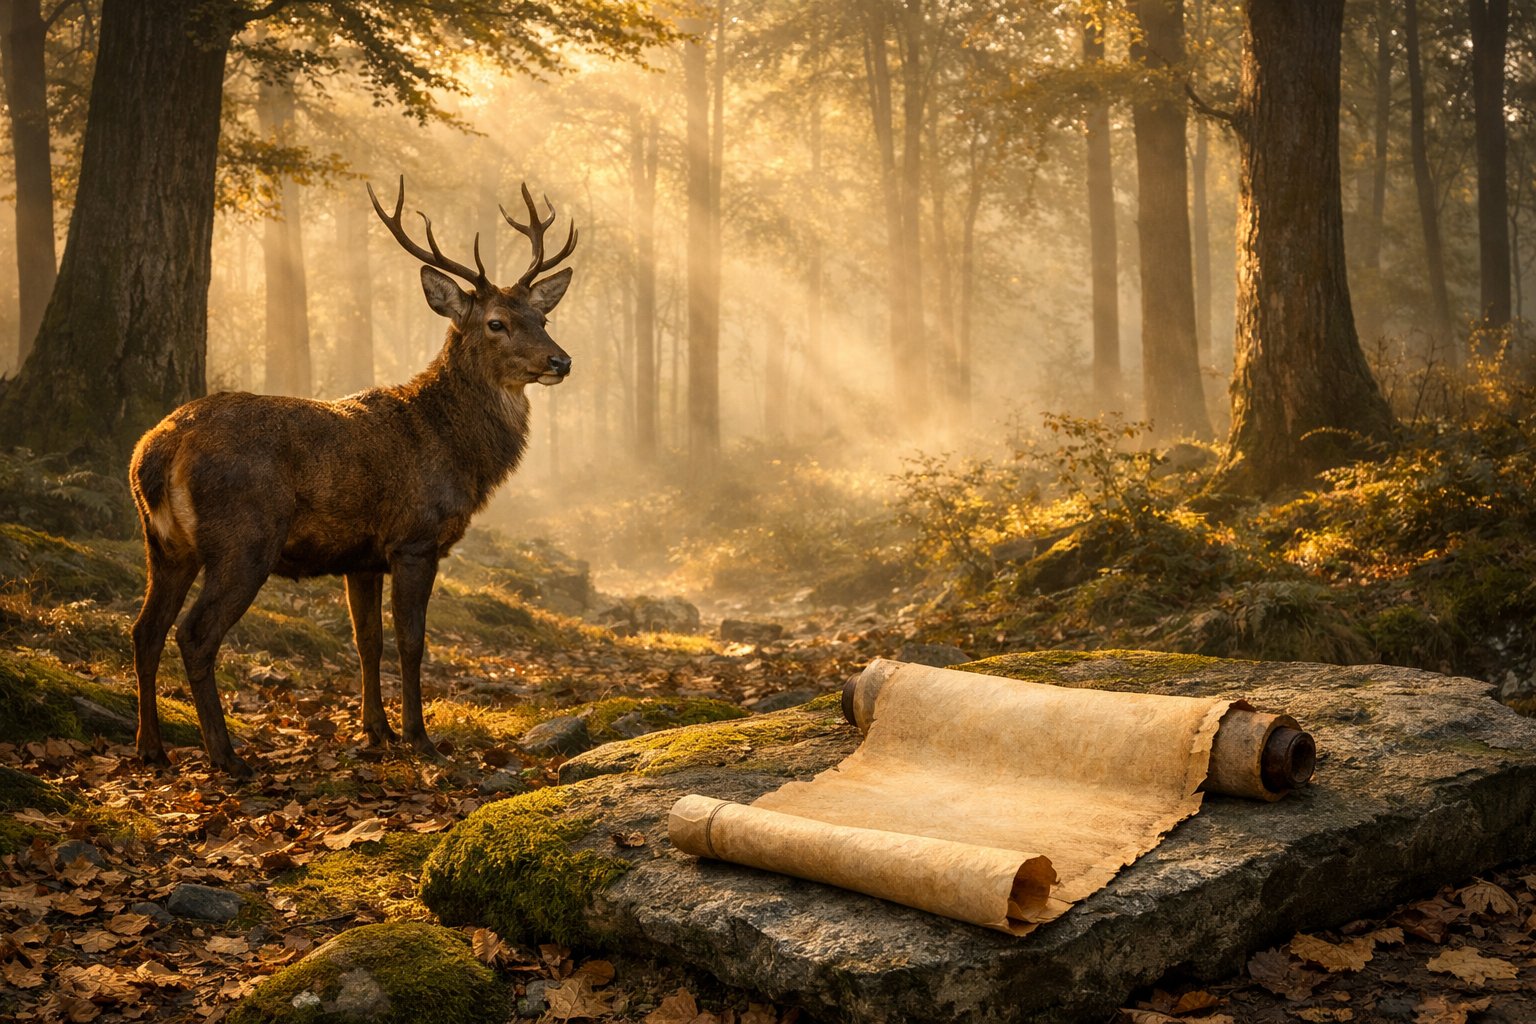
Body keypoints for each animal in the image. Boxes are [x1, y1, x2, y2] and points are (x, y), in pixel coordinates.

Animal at [128, 178, 577, 776]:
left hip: (164, 544)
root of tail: (156, 451)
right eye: (496, 323)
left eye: (542, 319)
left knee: (145, 630)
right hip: (243, 539)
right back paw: (227, 756)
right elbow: (411, 641)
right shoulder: (414, 539)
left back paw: (150, 748)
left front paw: (376, 731)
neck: (454, 447)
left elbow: (368, 642)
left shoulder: (361, 557)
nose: (561, 361)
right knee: (195, 634)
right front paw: (419, 738)